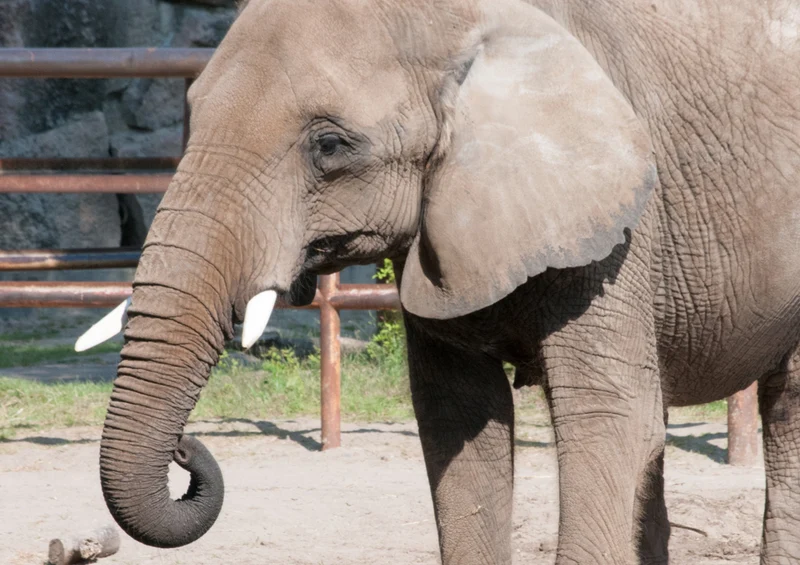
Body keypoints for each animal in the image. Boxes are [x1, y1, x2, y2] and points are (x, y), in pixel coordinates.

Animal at [78, 0, 800, 563]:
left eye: (329, 145)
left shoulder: (619, 226)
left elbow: (610, 419)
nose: (185, 448)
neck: (466, 22)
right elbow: (460, 423)